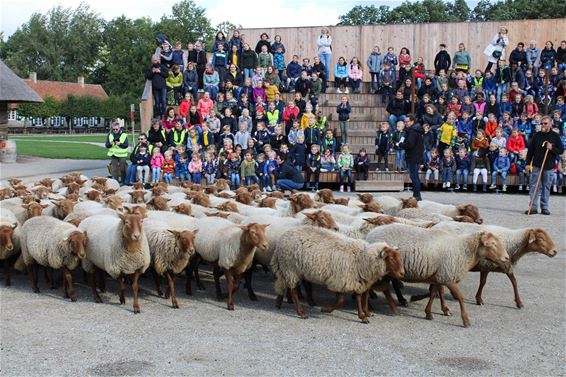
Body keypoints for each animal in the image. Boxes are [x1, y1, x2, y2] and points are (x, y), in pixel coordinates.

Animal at [272, 226, 402, 324]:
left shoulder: (357, 280)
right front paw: (326, 309)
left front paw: (363, 315)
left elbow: (359, 297)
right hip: (290, 269)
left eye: (399, 257)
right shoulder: (341, 279)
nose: (402, 273)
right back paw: (300, 312)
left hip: (289, 270)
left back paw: (279, 302)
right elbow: (341, 301)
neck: (361, 258)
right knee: (293, 290)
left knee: (284, 284)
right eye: (391, 259)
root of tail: (283, 238)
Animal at [368, 223, 510, 326]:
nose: (507, 258)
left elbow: (434, 293)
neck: (463, 249)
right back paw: (372, 305)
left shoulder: (440, 275)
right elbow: (459, 297)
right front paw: (465, 320)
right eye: (493, 244)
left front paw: (430, 312)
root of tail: (371, 233)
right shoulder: (448, 275)